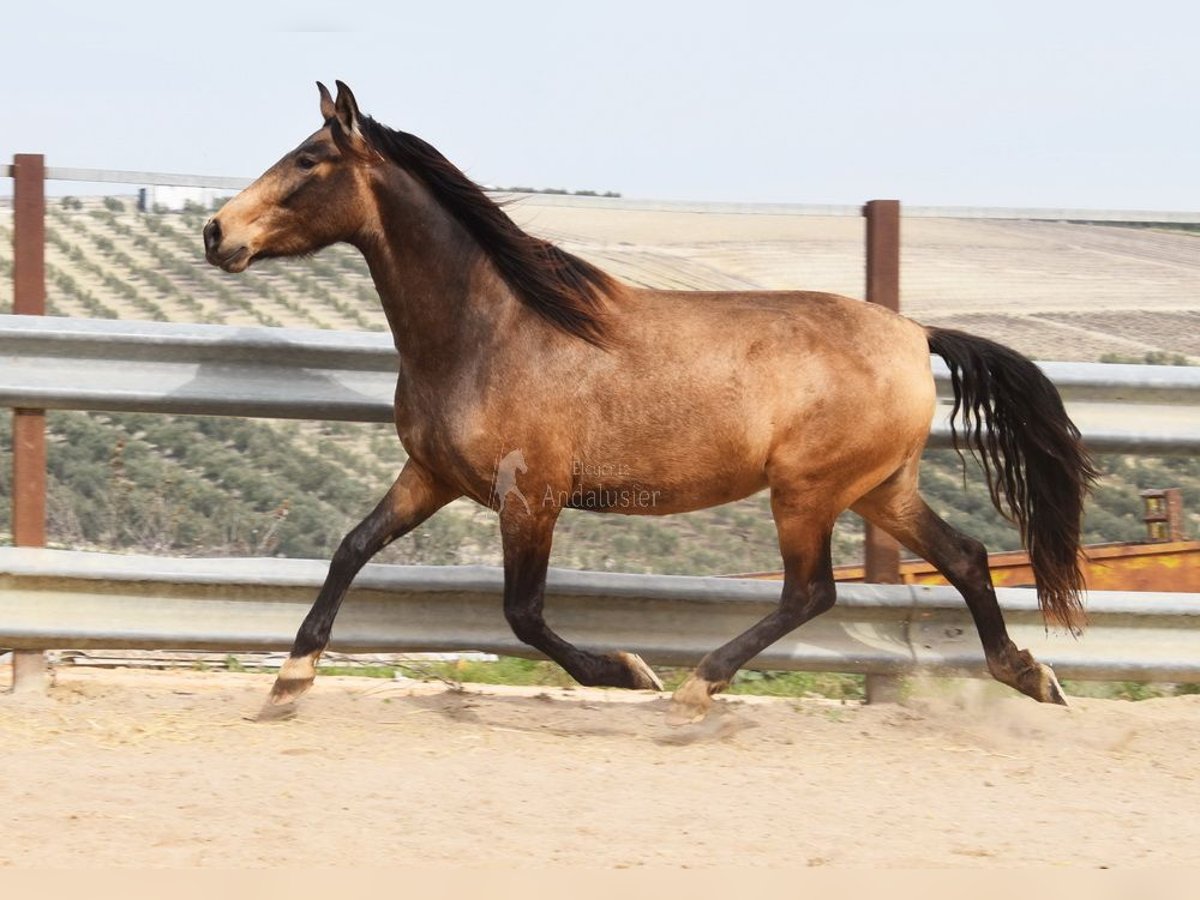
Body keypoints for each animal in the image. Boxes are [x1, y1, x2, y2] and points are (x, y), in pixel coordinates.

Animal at [204, 81, 1099, 724]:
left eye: (307, 161)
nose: (217, 232)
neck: (489, 329)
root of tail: (916, 333)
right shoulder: (430, 476)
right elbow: (351, 548)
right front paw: (290, 679)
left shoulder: (531, 498)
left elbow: (522, 613)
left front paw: (629, 672)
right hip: (881, 488)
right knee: (966, 557)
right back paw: (1032, 676)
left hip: (808, 493)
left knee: (813, 592)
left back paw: (697, 685)